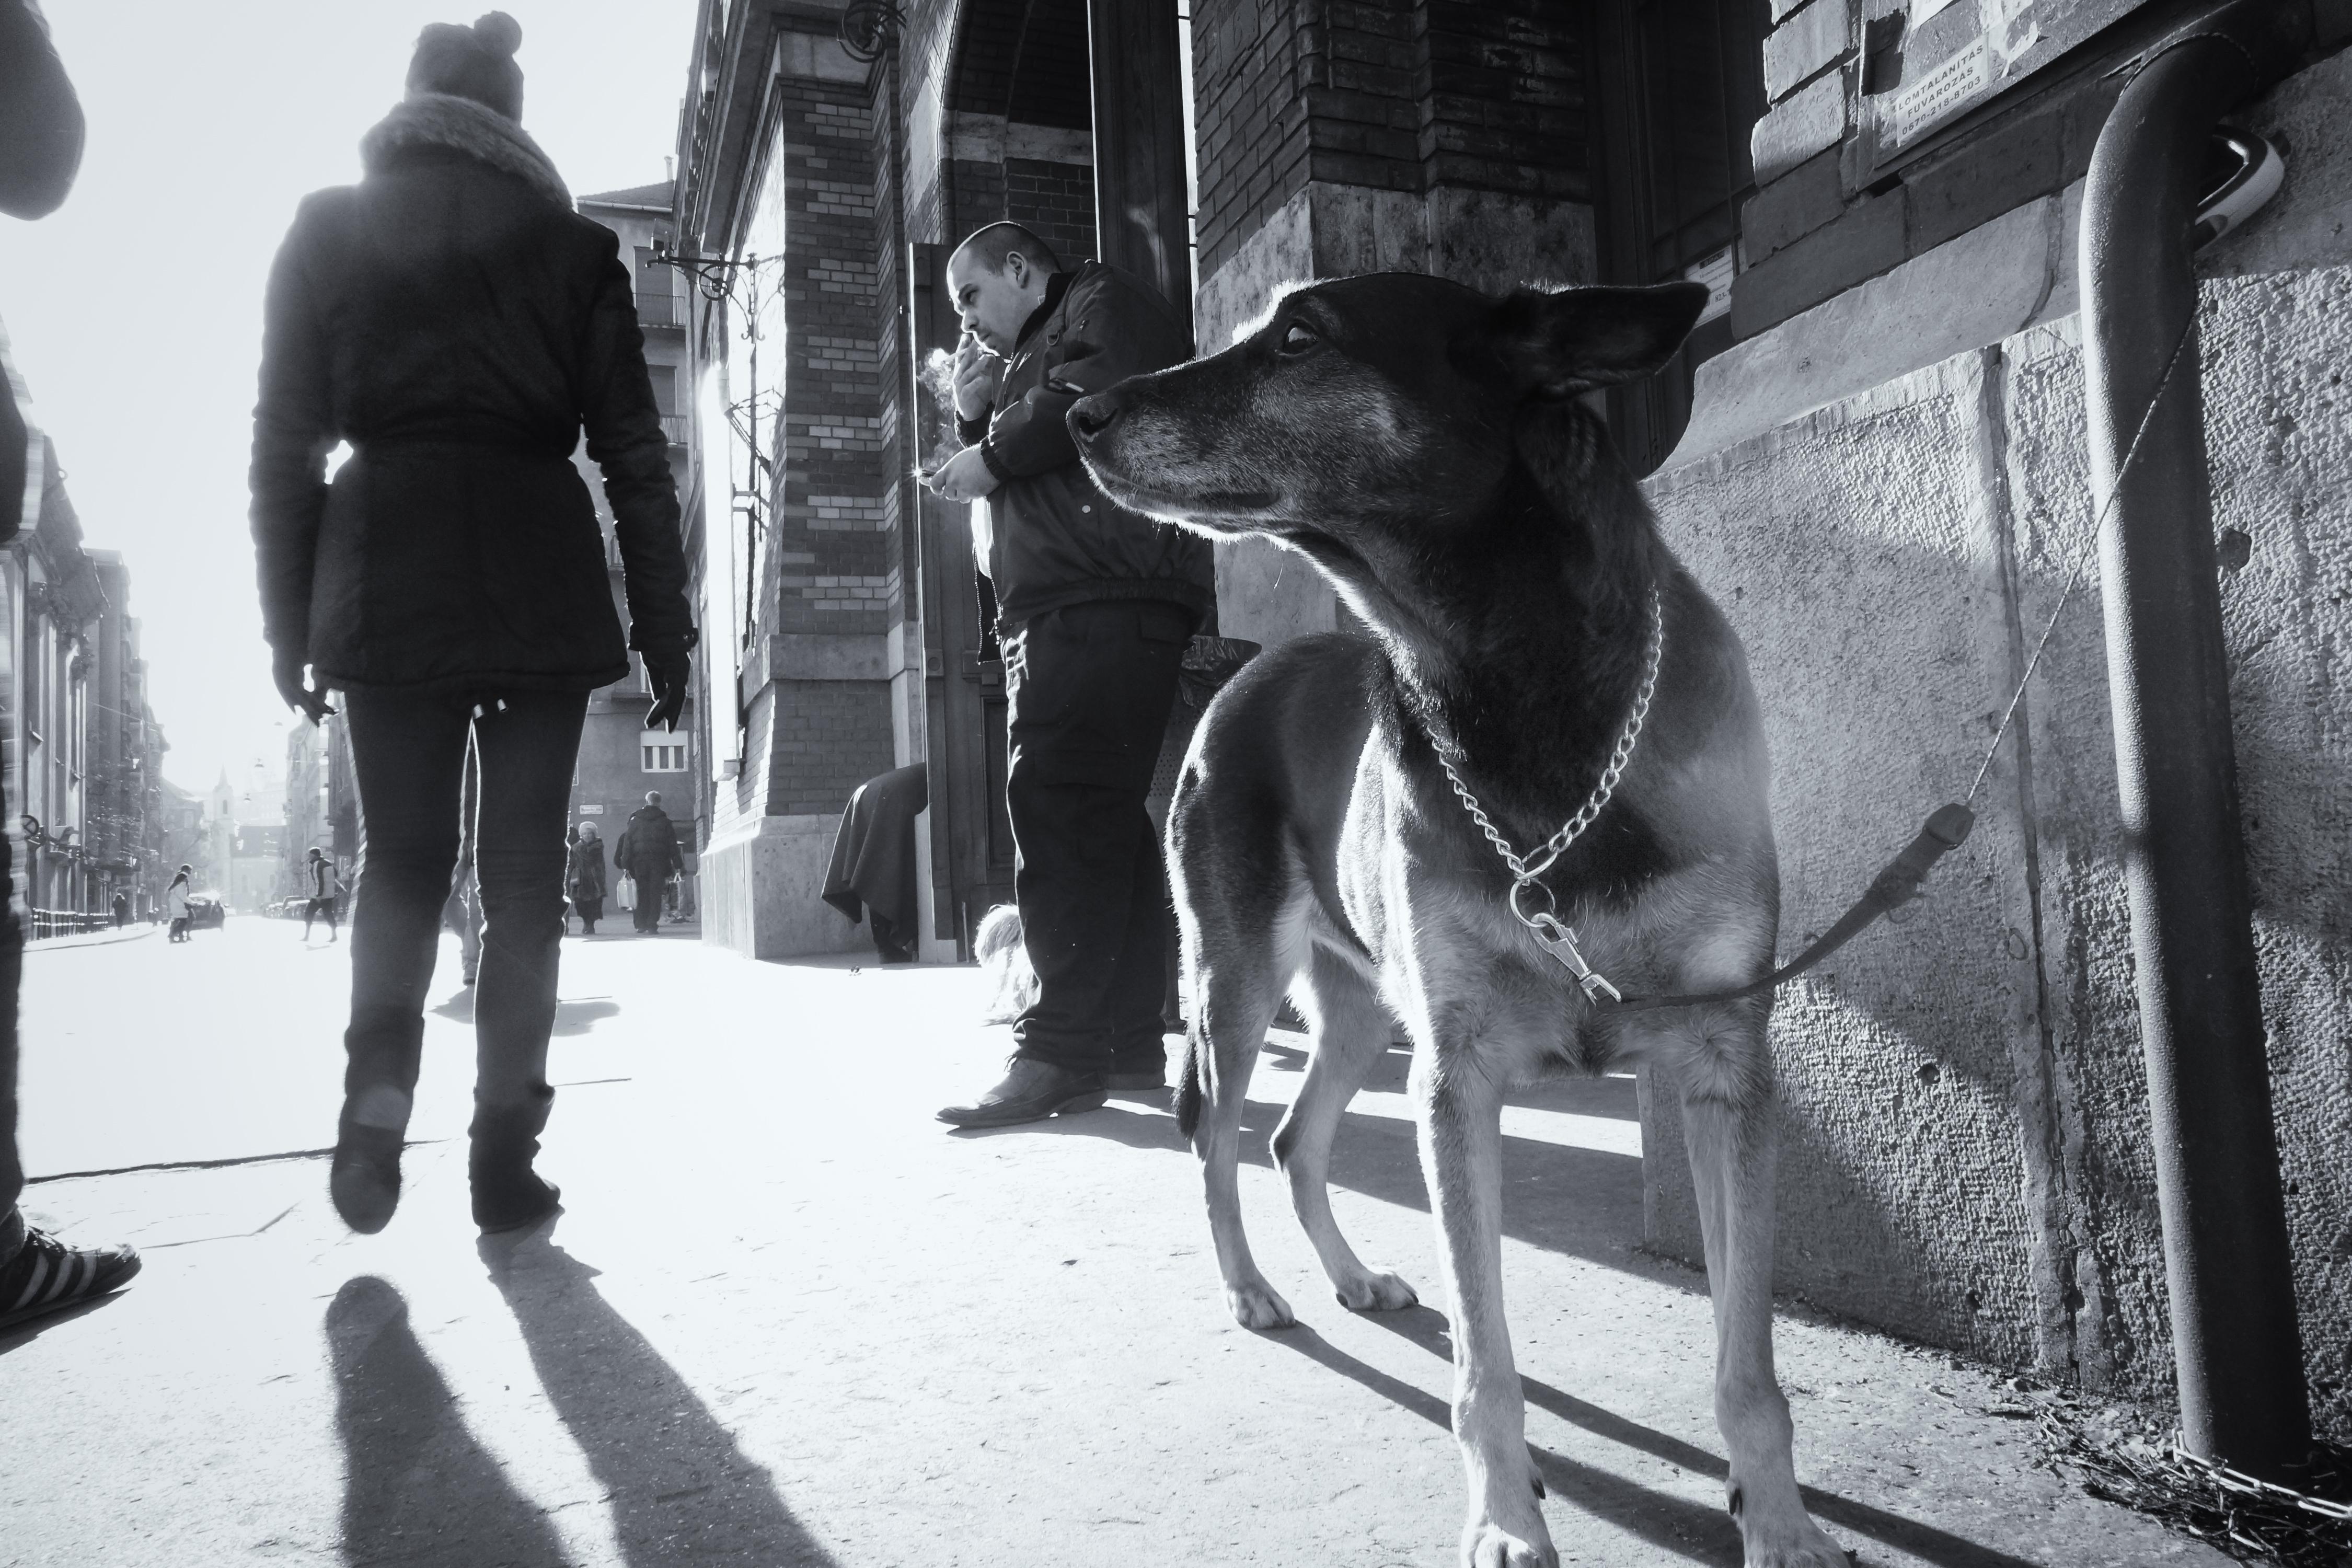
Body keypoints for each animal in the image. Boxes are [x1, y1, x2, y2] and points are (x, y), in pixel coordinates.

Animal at [1073, 278, 1853, 1568]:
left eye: (1301, 337)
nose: (1074, 413)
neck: (1514, 691)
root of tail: (1238, 679)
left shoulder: (1724, 1071)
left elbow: (1749, 1361)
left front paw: (1781, 1521)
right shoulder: (1459, 1078)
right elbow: (1487, 1363)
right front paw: (1505, 1516)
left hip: (1357, 1011)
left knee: (1291, 1140)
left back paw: (1349, 1277)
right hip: (1237, 988)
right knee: (1216, 1143)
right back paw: (1250, 1290)